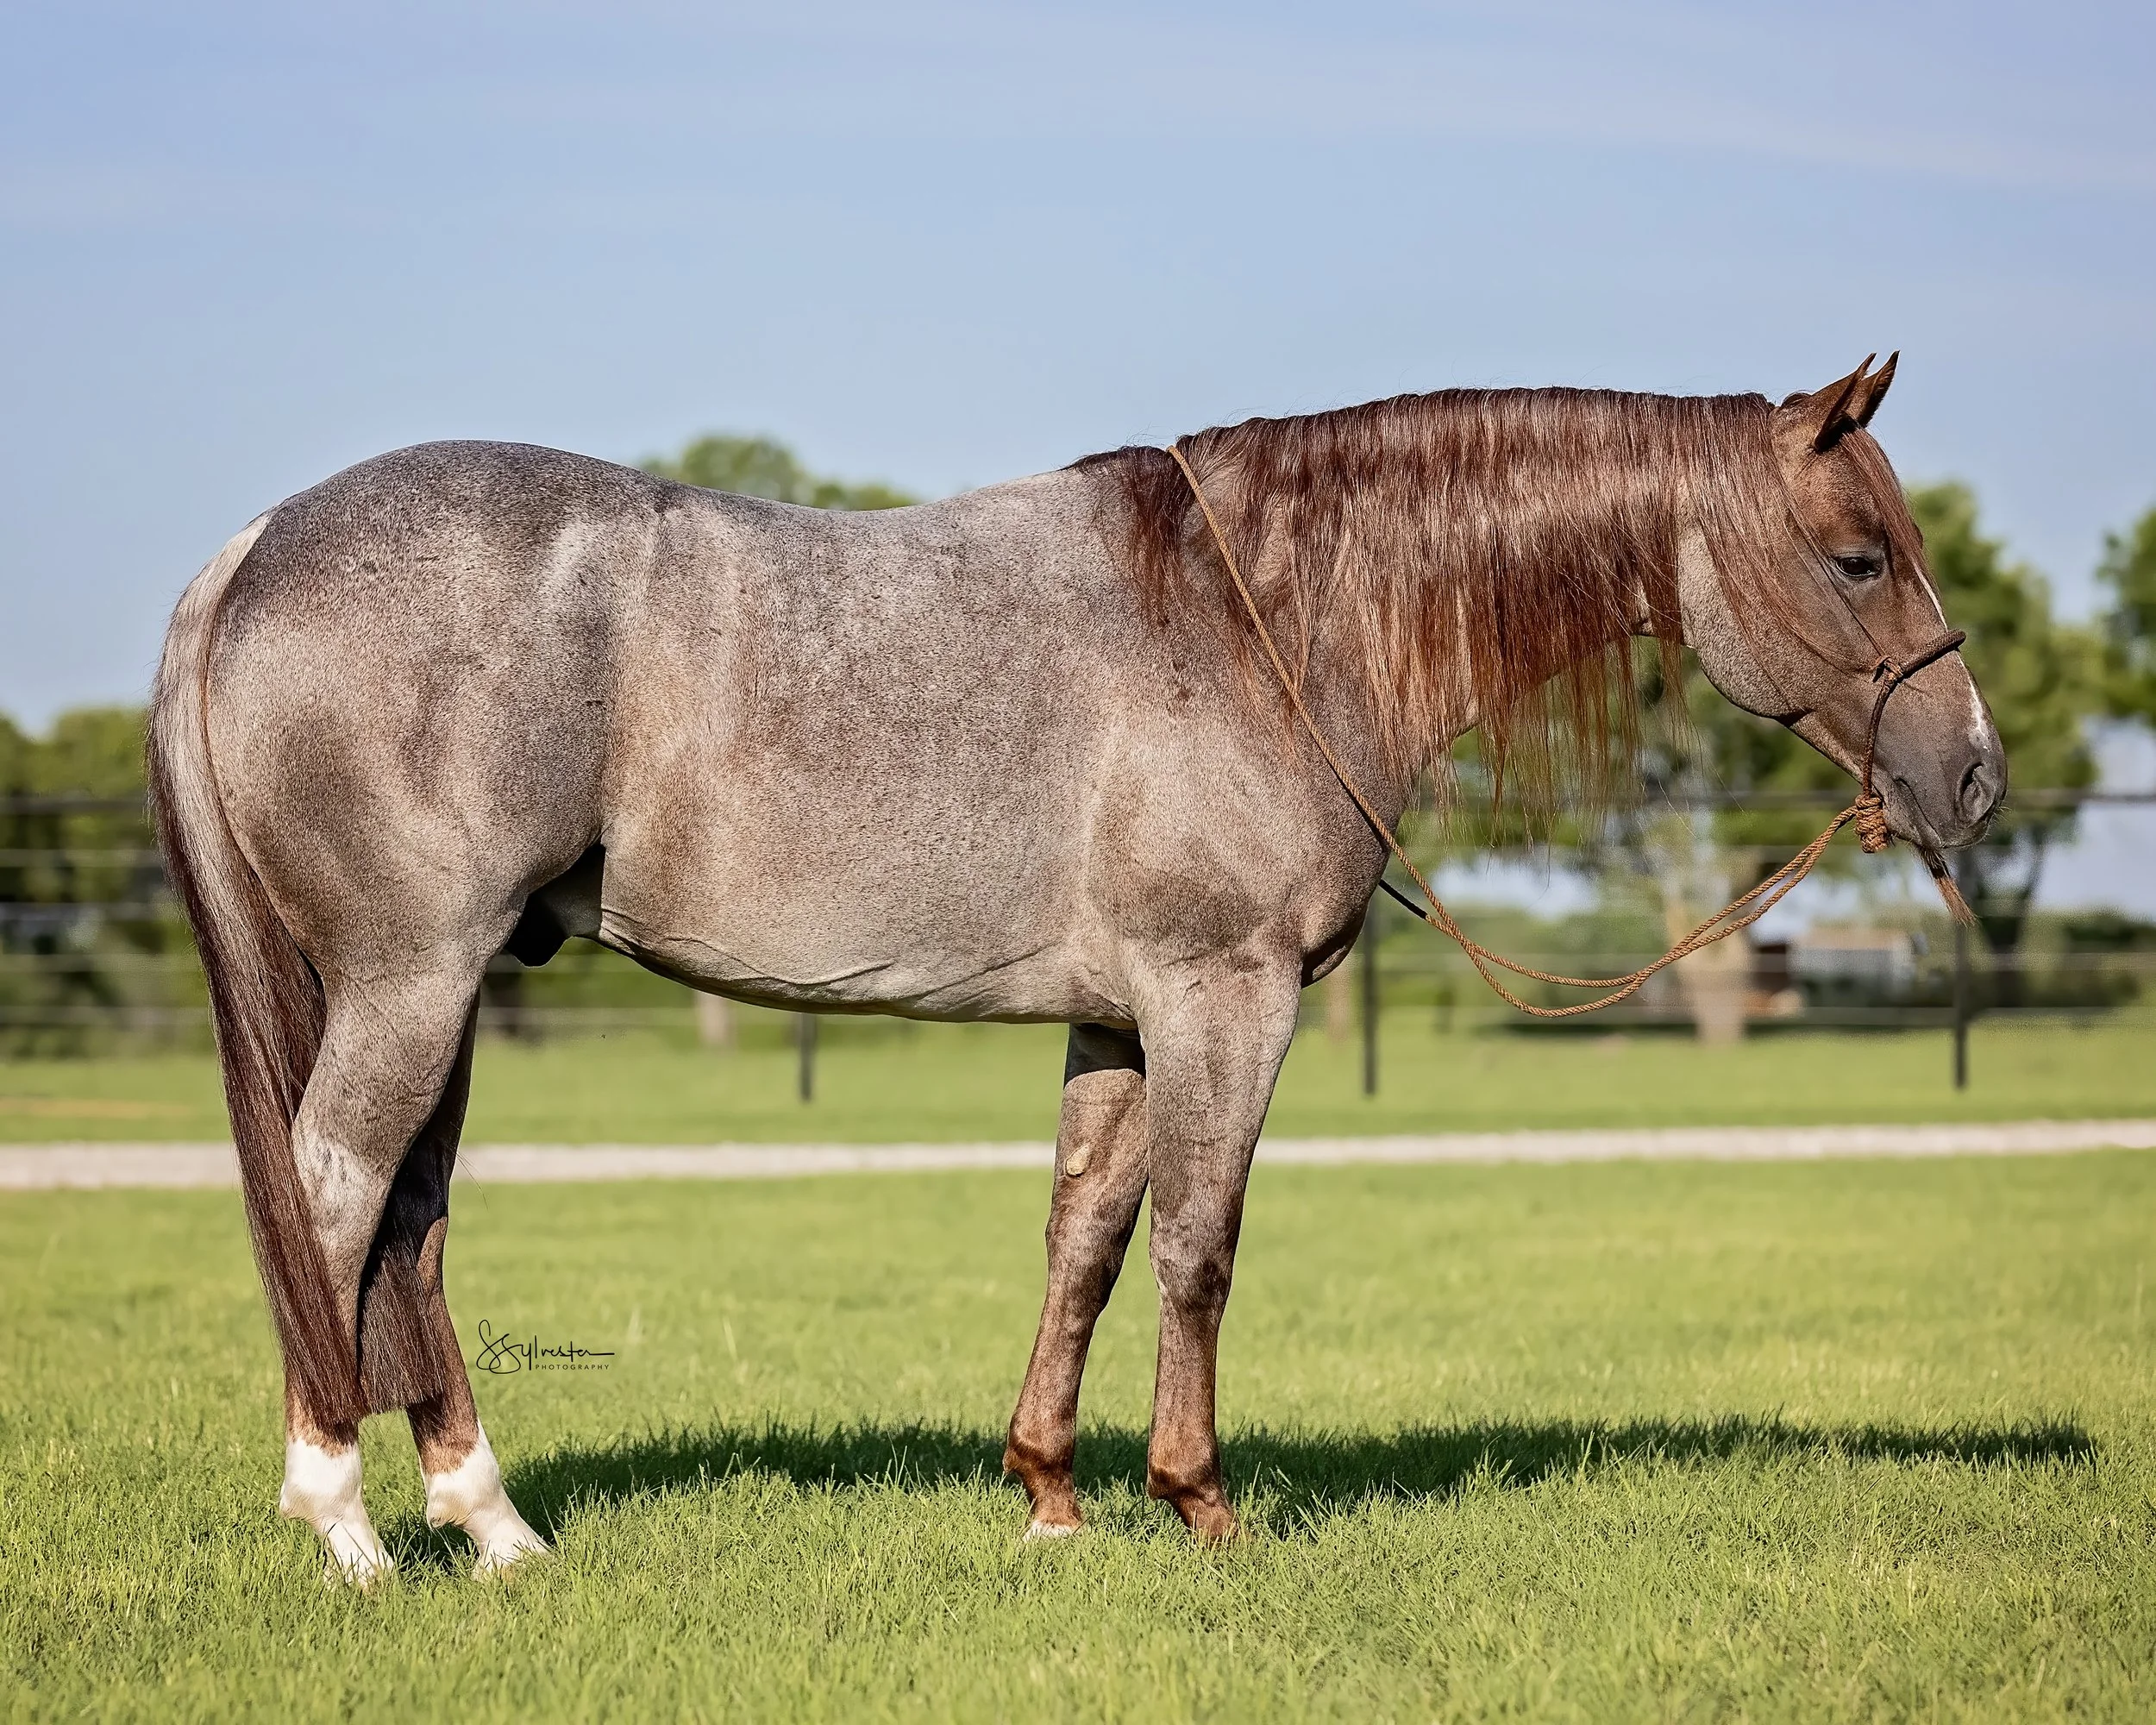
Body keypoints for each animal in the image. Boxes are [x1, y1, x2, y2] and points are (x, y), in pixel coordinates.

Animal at [149, 355, 2004, 1581]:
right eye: (1857, 556)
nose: (1972, 777)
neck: (1265, 620)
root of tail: (251, 546)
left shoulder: (1116, 1019)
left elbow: (1087, 1240)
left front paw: (1049, 1493)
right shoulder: (1221, 995)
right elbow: (1198, 1244)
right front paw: (1201, 1503)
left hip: (452, 989)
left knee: (408, 1226)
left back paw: (493, 1527)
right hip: (412, 978)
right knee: (331, 1198)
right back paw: (345, 1531)